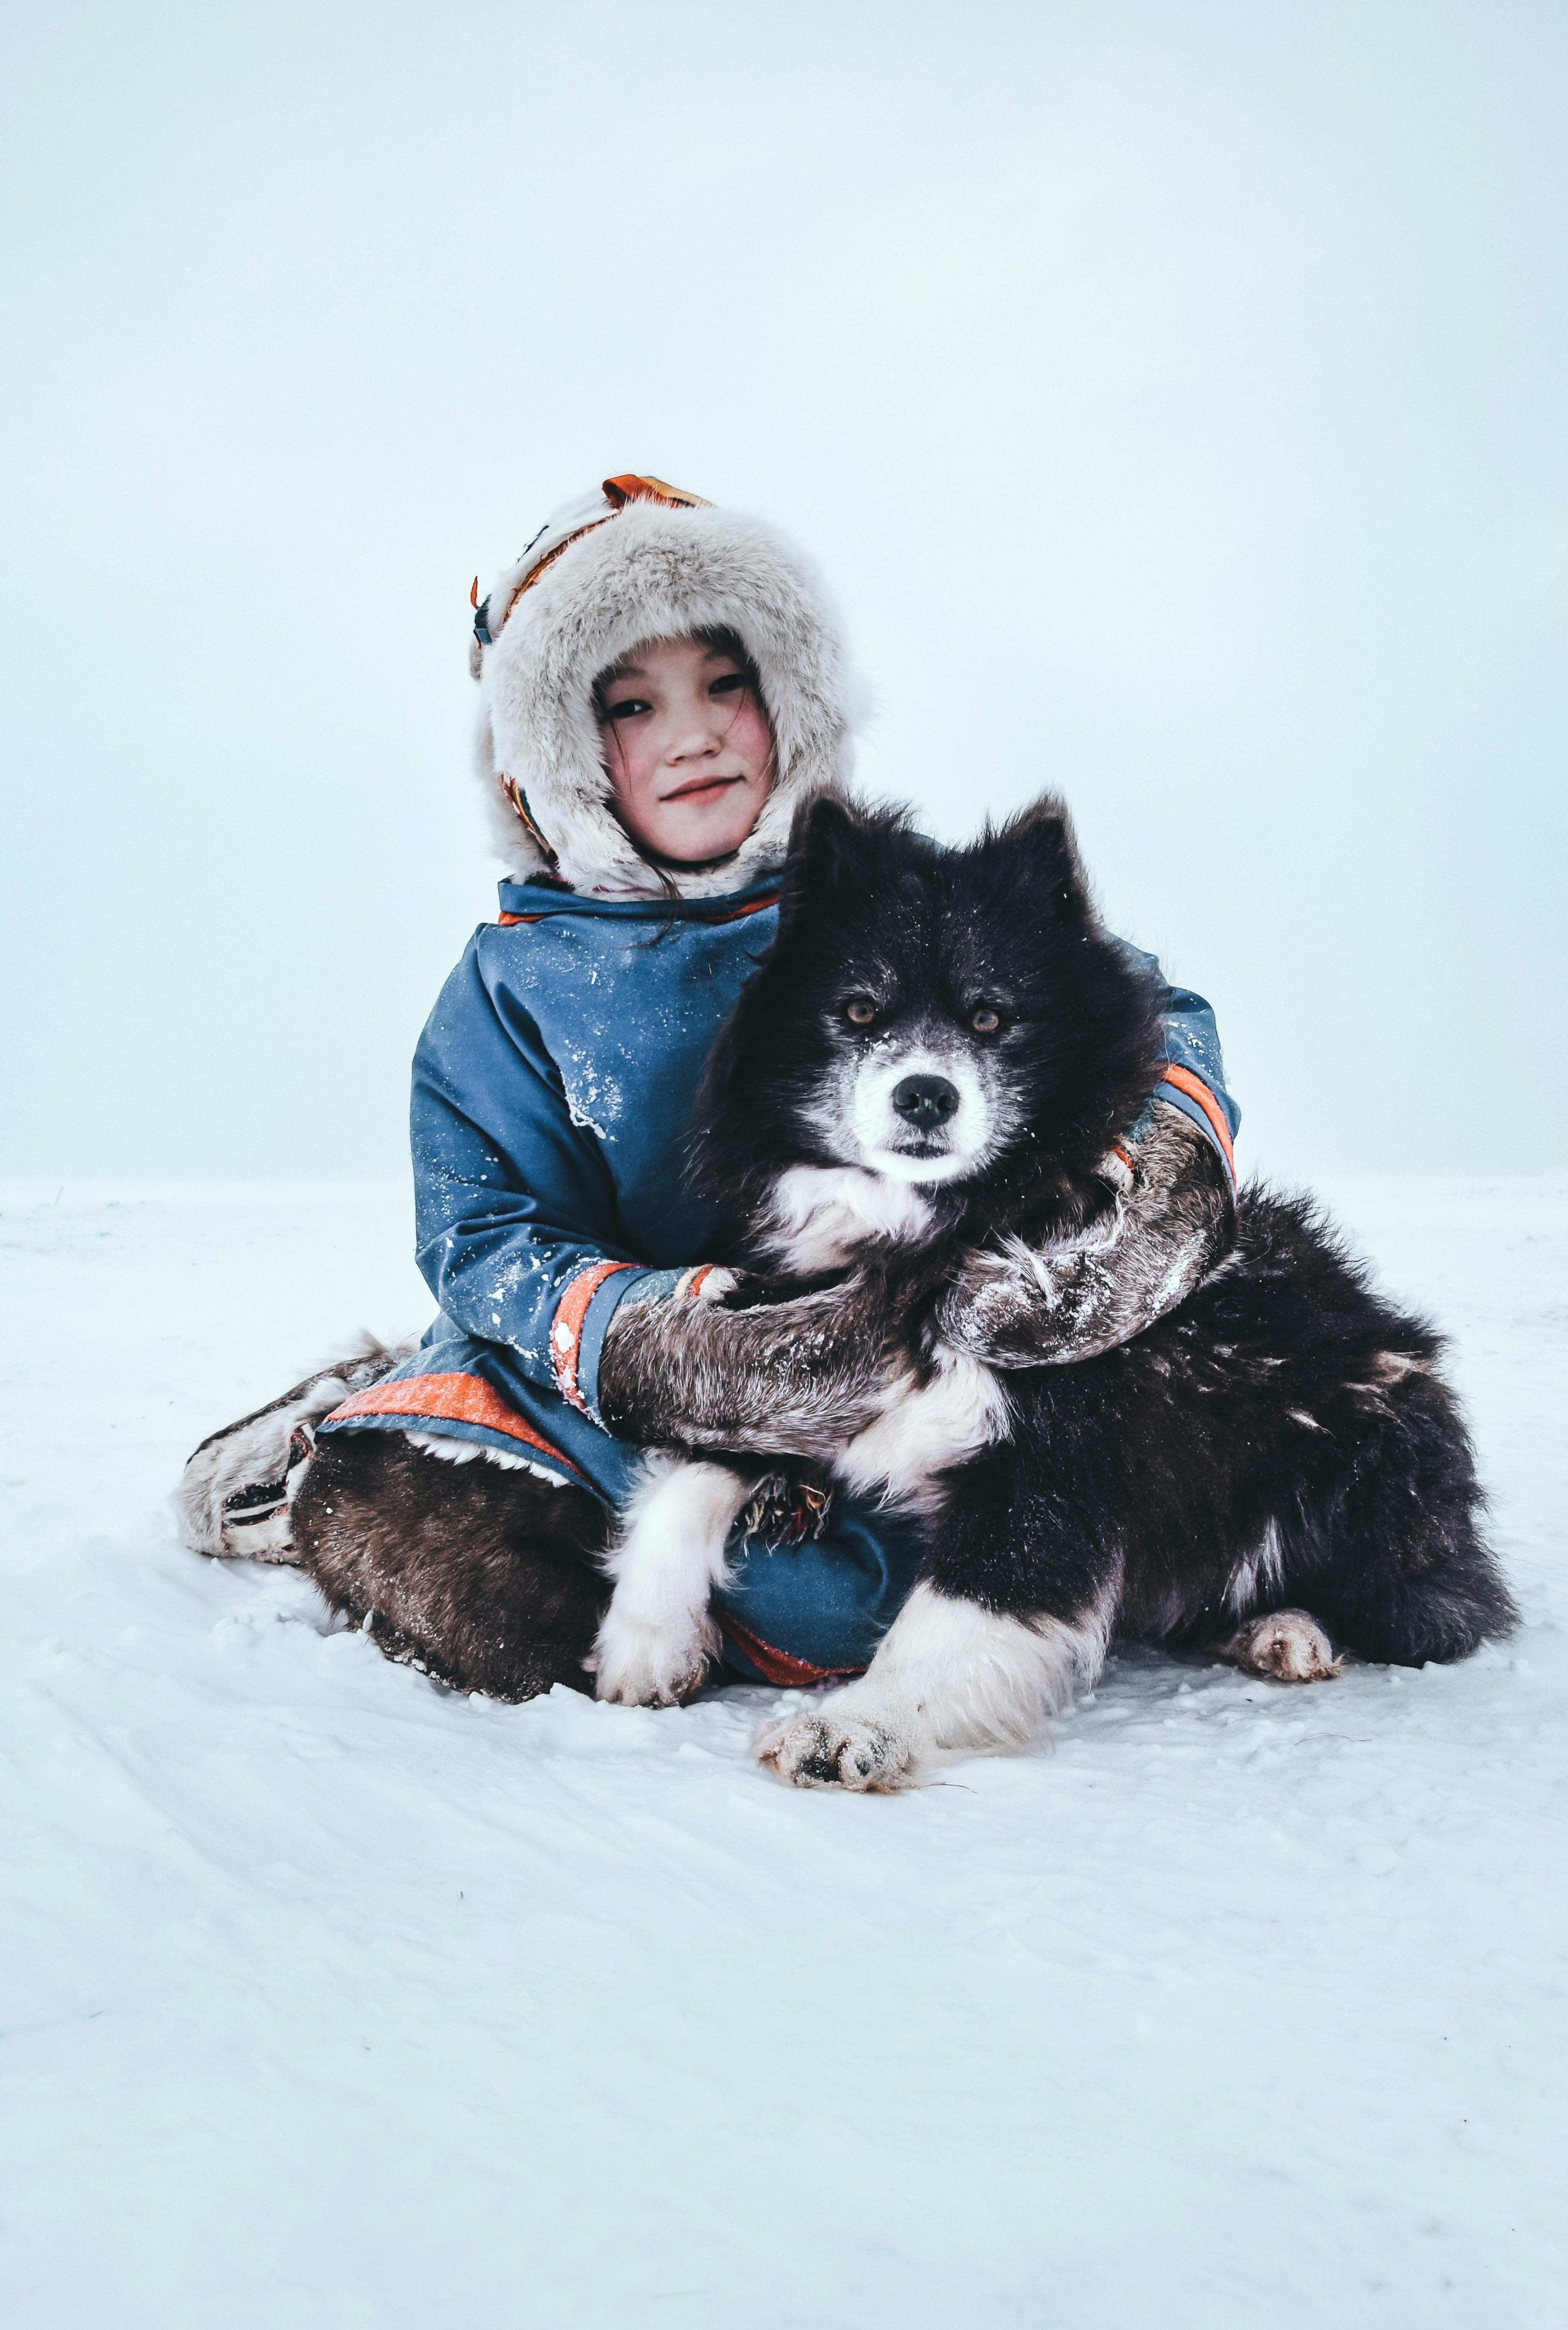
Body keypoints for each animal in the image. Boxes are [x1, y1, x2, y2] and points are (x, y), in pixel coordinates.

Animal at [594, 792, 1510, 1789]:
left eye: (991, 1017)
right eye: (860, 1009)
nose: (925, 1095)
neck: (943, 1231)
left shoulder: (1062, 1453)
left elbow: (953, 1613)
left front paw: (852, 1729)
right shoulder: (801, 1359)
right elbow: (697, 1463)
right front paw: (645, 1638)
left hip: (1357, 1452)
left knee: (1415, 1609)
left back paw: (1286, 1630)